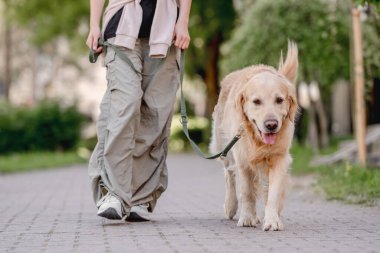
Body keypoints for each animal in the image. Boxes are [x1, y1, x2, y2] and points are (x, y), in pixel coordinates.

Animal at [209, 42, 298, 231]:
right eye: (256, 101)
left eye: (279, 100)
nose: (271, 125)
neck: (258, 141)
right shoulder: (242, 159)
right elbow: (247, 192)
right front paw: (248, 217)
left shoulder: (279, 158)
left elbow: (273, 193)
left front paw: (272, 219)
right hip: (224, 147)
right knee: (229, 175)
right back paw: (231, 206)